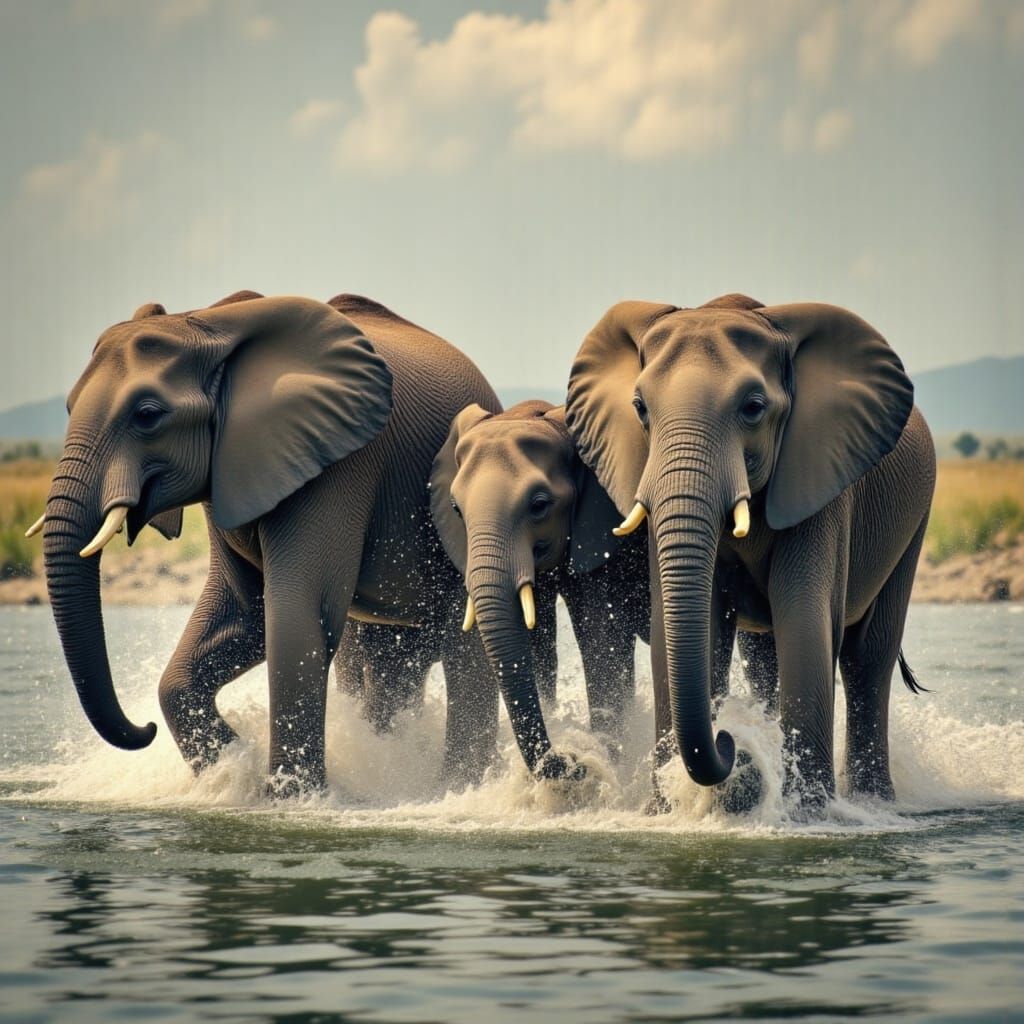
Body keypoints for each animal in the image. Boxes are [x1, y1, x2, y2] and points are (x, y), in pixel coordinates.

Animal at [35, 290, 504, 793]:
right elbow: (246, 617)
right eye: (68, 407)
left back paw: (458, 787)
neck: (209, 323)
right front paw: (232, 768)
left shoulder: (338, 464)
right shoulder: (228, 470)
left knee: (463, 645)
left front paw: (290, 797)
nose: (145, 730)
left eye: (147, 415)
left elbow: (296, 614)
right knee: (386, 662)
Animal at [565, 293, 935, 809]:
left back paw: (873, 804)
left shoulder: (821, 478)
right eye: (639, 408)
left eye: (754, 408)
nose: (727, 741)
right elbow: (695, 629)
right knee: (766, 659)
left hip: (914, 522)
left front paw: (808, 813)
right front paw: (665, 811)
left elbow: (805, 619)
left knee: (868, 658)